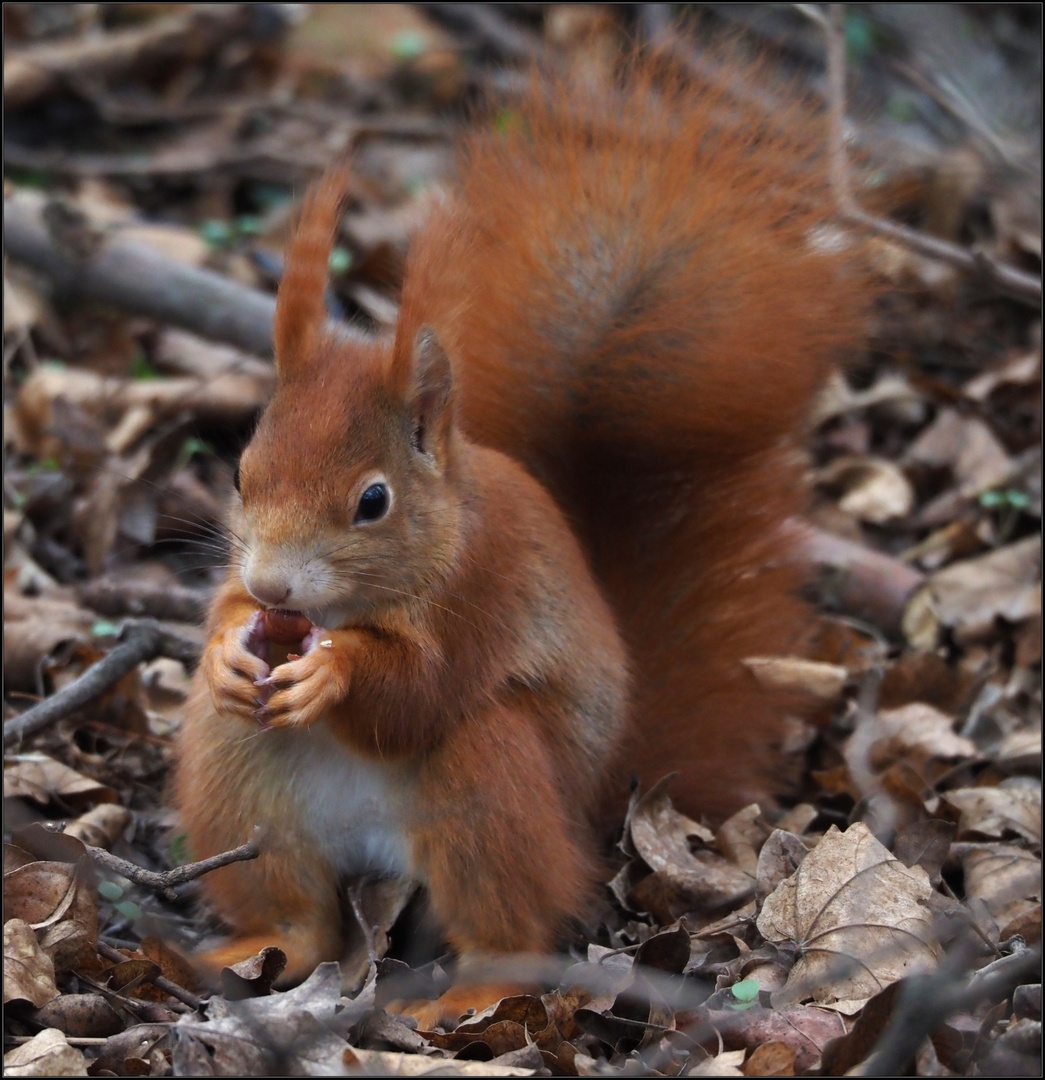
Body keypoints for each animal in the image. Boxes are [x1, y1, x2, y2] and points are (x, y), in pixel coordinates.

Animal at [175, 50, 863, 1028]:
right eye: (240, 474)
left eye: (373, 501)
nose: (274, 590)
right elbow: (223, 619)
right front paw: (231, 639)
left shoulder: (485, 594)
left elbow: (418, 696)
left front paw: (337, 670)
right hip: (242, 784)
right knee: (297, 909)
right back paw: (259, 944)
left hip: (492, 786)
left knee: (507, 911)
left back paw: (474, 991)